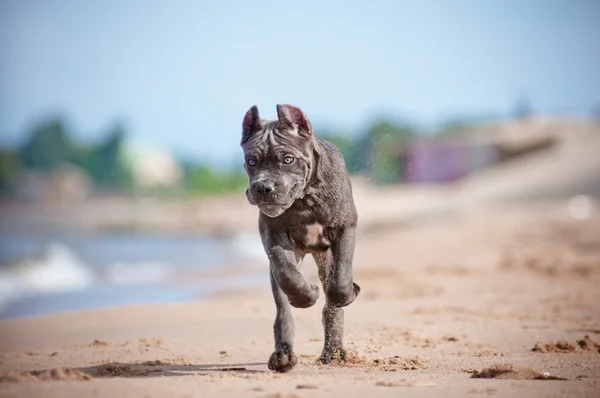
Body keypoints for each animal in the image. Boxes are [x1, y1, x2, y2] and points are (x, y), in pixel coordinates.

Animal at [239, 103, 360, 374]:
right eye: (251, 161)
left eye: (288, 159)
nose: (262, 187)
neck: (305, 199)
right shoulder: (272, 235)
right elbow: (287, 274)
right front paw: (307, 295)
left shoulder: (345, 226)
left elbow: (340, 282)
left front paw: (348, 293)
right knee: (283, 308)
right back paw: (283, 355)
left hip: (326, 256)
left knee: (332, 302)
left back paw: (333, 352)